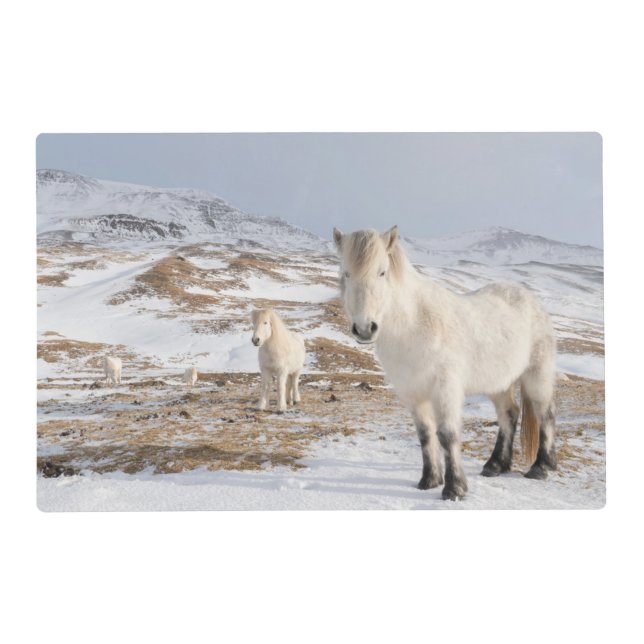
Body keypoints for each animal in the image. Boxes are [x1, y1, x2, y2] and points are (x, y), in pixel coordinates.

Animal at [333, 225, 557, 500]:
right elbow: (425, 434)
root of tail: (530, 299)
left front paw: (454, 489)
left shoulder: (445, 389)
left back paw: (541, 467)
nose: (365, 329)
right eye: (346, 273)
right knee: (509, 414)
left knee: (545, 414)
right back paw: (495, 465)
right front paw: (429, 480)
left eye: (382, 272)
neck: (414, 325)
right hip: (499, 383)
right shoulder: (413, 393)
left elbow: (447, 435)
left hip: (537, 375)